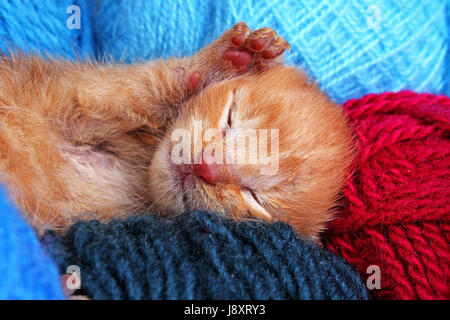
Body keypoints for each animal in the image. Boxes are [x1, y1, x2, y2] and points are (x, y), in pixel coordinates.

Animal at [0, 22, 352, 238]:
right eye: (230, 116)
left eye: (254, 197)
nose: (205, 166)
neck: (132, 165)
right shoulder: (74, 91)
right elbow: (143, 83)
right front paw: (231, 59)